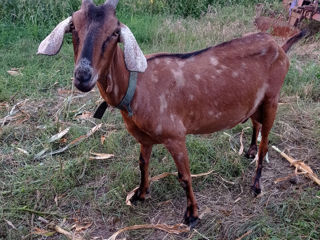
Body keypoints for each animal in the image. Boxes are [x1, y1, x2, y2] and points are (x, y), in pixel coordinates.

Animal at [37, 0, 304, 227]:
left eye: (114, 32)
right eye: (74, 26)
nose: (83, 76)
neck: (136, 87)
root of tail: (278, 46)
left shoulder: (175, 135)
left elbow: (184, 176)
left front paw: (192, 215)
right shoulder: (144, 138)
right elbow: (143, 164)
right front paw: (140, 194)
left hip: (272, 99)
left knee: (266, 142)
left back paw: (256, 184)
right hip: (255, 101)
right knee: (255, 123)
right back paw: (248, 151)